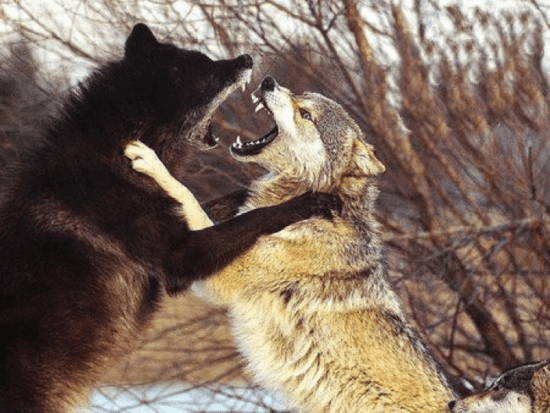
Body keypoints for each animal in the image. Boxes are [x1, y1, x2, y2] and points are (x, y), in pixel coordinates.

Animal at [0, 26, 338, 412]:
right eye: (207, 69)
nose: (247, 58)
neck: (117, 154)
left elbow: (236, 200)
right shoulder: (182, 256)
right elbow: (258, 216)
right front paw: (309, 200)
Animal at [125, 75, 458, 410]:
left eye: (306, 114)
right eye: (298, 94)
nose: (268, 81)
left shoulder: (226, 274)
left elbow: (187, 194)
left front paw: (153, 163)